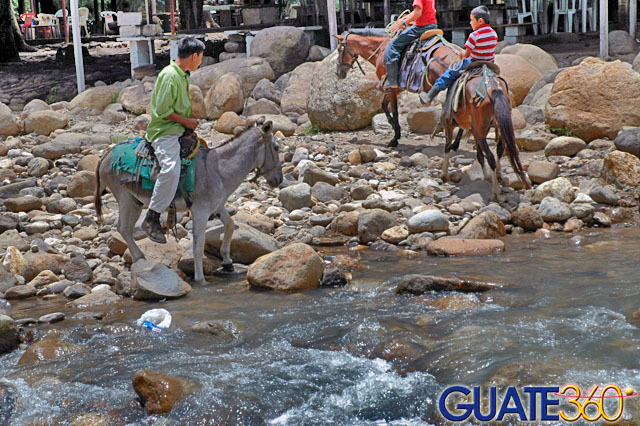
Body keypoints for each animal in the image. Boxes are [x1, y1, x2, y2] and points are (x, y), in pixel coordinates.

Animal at [94, 120, 283, 284]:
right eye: (276, 147)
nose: (279, 180)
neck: (218, 169)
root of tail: (106, 155)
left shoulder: (217, 206)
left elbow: (230, 226)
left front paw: (227, 262)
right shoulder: (200, 211)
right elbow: (198, 246)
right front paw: (201, 281)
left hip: (135, 201)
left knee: (125, 228)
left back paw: (138, 257)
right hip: (125, 197)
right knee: (124, 228)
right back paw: (141, 255)